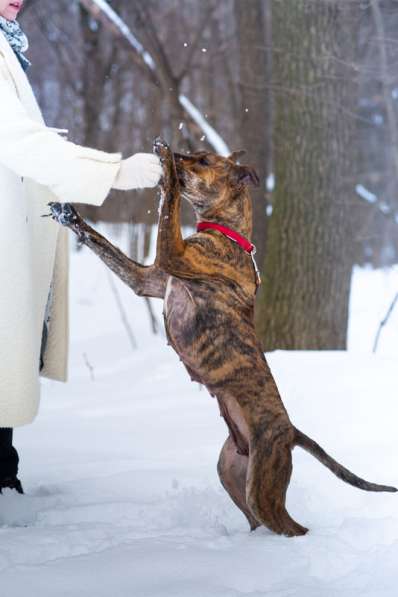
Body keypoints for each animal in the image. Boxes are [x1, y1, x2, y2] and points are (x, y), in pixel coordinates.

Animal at [49, 139, 394, 536]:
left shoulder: (173, 253)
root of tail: (290, 431)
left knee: (289, 526)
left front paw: (165, 163)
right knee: (257, 521)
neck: (226, 234)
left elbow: (170, 204)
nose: (176, 154)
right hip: (232, 473)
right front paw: (69, 215)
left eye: (202, 160)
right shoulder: (146, 280)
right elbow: (104, 243)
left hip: (263, 487)